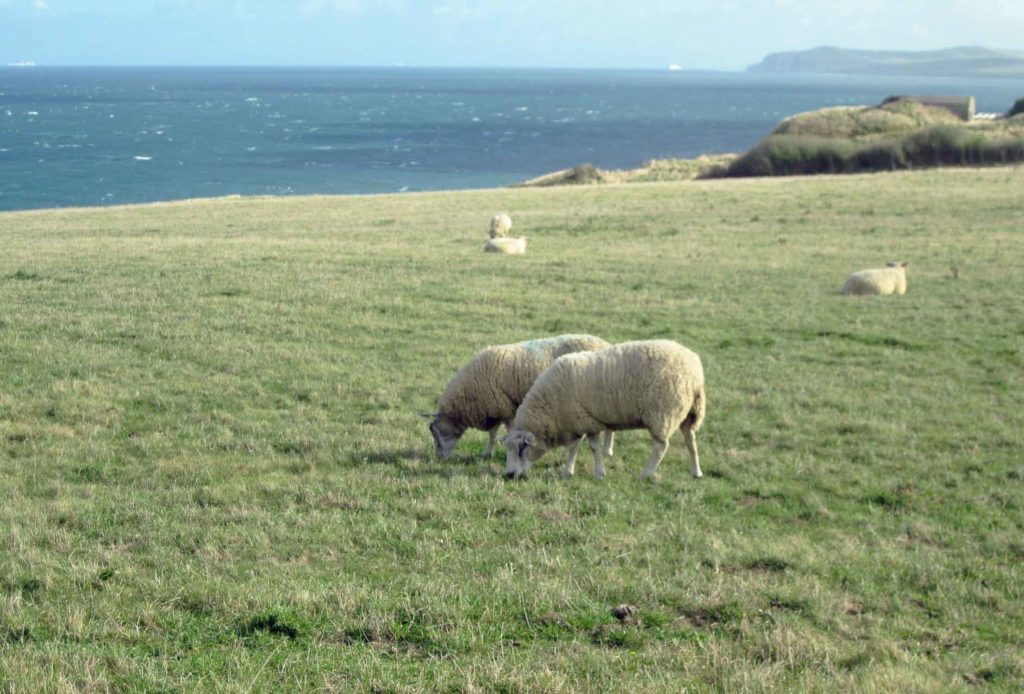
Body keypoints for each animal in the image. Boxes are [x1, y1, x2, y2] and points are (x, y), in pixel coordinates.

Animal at [425, 337, 614, 462]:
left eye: (439, 433)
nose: (439, 458)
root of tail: (606, 344)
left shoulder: (505, 409)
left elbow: (505, 432)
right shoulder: (496, 408)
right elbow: (493, 434)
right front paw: (487, 453)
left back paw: (606, 450)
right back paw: (607, 451)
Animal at [501, 337, 704, 481]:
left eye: (521, 448)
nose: (509, 475)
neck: (550, 405)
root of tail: (695, 372)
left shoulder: (586, 421)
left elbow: (592, 448)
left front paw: (599, 473)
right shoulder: (577, 421)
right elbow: (575, 448)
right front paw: (568, 471)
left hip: (663, 413)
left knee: (661, 446)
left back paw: (646, 474)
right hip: (689, 413)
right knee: (691, 440)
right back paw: (697, 472)